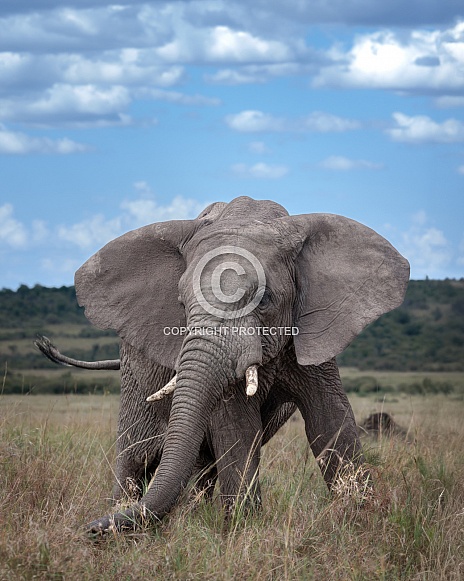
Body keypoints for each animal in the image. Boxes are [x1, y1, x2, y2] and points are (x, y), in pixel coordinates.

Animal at [73, 195, 410, 532]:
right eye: (181, 304)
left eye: (265, 299)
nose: (88, 529)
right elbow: (238, 428)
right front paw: (244, 529)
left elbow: (331, 417)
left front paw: (361, 520)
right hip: (133, 373)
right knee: (135, 456)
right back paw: (122, 513)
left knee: (201, 462)